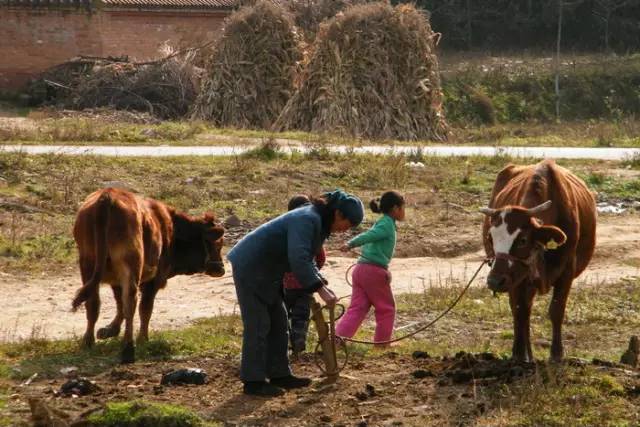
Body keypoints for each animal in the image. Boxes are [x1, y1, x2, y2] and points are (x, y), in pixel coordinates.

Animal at [70, 188, 224, 364]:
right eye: (218, 244)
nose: (221, 268)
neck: (171, 229)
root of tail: (107, 195)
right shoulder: (153, 281)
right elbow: (145, 308)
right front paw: (143, 338)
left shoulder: (116, 280)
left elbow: (119, 304)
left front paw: (110, 330)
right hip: (130, 262)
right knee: (131, 301)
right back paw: (128, 348)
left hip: (88, 262)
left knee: (94, 302)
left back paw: (88, 341)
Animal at [482, 160, 596, 364]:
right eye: (490, 238)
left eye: (522, 240)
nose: (494, 281)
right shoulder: (517, 276)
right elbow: (519, 310)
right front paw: (519, 355)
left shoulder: (567, 271)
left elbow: (556, 310)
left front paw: (556, 354)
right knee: (522, 311)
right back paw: (526, 354)